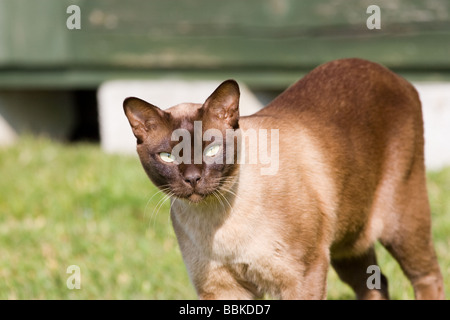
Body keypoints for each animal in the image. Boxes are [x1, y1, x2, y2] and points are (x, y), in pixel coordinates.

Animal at [122, 57, 442, 300]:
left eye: (211, 149)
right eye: (168, 156)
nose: (193, 178)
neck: (220, 223)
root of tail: (390, 72)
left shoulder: (301, 277)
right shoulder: (221, 288)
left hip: (401, 225)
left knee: (428, 276)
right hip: (348, 241)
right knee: (376, 284)